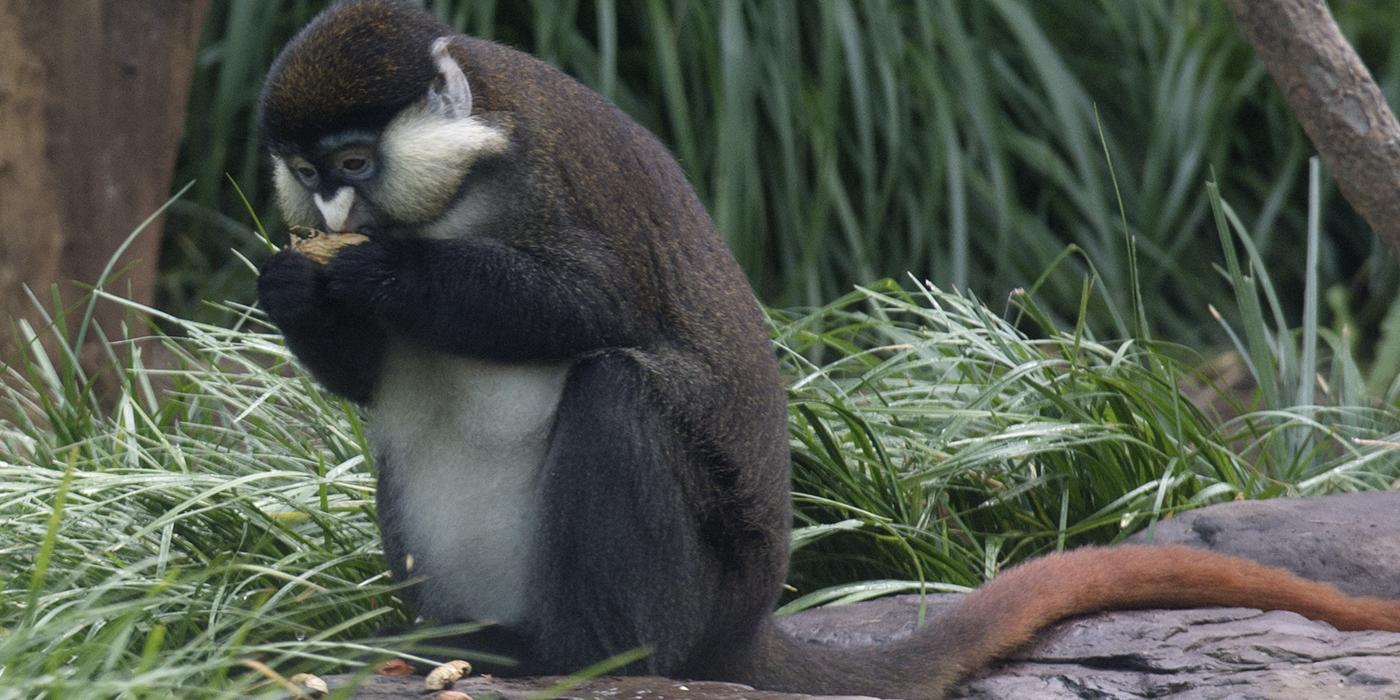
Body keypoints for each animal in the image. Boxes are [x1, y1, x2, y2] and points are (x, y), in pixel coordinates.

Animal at [257, 2, 1400, 697]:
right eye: (305, 172)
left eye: (353, 161)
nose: (334, 210)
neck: (451, 185)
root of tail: (744, 628)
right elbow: (367, 382)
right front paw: (292, 286)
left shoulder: (546, 173)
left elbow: (593, 307)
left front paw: (375, 271)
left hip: (699, 578)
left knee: (619, 392)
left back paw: (569, 653)